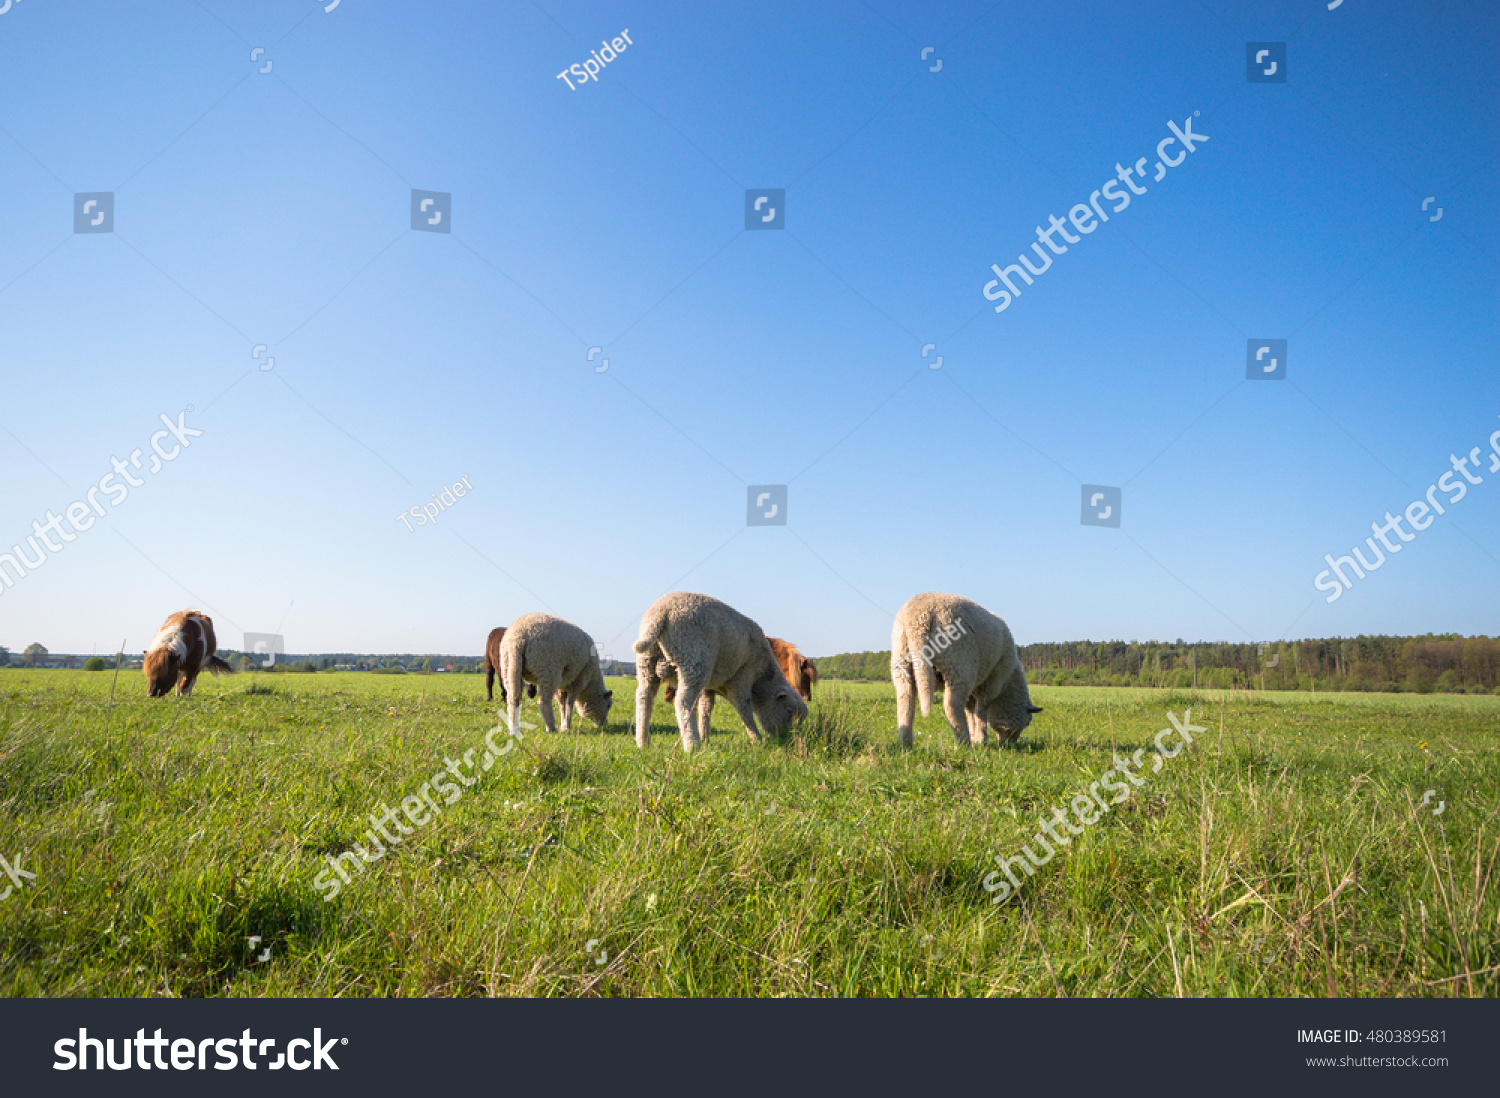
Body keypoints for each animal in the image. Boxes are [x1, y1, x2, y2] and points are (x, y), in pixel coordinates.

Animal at [633, 591, 810, 756]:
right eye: (789, 711)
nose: (787, 739)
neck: (762, 675)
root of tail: (662, 612)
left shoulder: (709, 688)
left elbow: (706, 709)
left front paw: (705, 738)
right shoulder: (744, 673)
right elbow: (744, 707)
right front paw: (757, 740)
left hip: (647, 660)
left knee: (644, 698)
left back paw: (643, 742)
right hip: (693, 657)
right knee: (683, 701)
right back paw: (692, 746)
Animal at [888, 591, 1044, 747]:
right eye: (1027, 722)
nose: (1008, 745)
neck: (1008, 682)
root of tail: (918, 616)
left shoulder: (975, 688)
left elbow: (970, 711)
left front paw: (975, 735)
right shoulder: (991, 682)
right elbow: (981, 710)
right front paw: (981, 739)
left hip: (902, 660)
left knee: (905, 700)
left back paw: (905, 743)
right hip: (958, 665)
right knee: (952, 705)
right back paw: (964, 743)